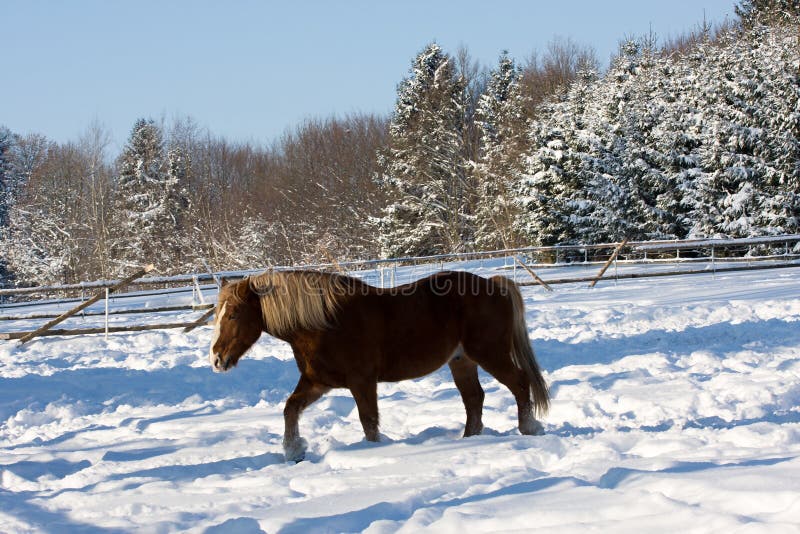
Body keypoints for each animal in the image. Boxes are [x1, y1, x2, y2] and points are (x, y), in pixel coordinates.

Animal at [209, 269, 549, 462]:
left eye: (234, 314)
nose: (216, 359)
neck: (325, 323)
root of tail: (494, 285)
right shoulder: (318, 382)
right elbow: (290, 408)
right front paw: (294, 451)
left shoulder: (362, 381)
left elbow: (368, 421)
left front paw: (375, 452)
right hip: (462, 362)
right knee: (474, 399)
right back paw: (470, 440)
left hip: (490, 354)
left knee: (520, 383)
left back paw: (529, 428)